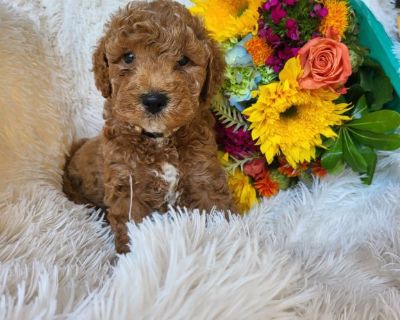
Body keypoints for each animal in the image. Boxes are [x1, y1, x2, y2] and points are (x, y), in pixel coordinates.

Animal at [63, 0, 234, 255]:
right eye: (128, 57)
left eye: (184, 61)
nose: (154, 100)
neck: (158, 140)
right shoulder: (127, 186)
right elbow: (132, 228)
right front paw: (130, 259)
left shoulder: (203, 174)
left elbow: (216, 210)